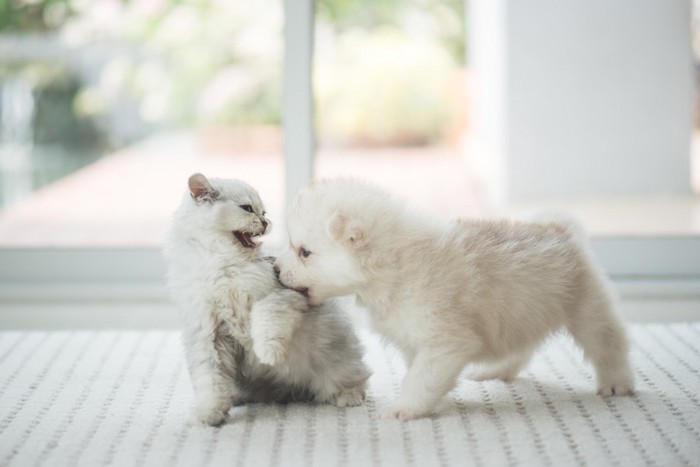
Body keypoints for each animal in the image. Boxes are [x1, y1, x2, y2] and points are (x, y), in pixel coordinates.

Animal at [166, 174, 370, 426]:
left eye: (263, 212)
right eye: (247, 209)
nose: (264, 222)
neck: (222, 264)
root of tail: (288, 392)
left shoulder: (279, 296)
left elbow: (265, 324)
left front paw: (268, 354)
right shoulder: (208, 333)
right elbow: (212, 382)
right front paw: (209, 415)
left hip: (339, 365)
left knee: (356, 381)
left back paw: (347, 397)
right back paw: (238, 399)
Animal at [276, 178, 636, 420]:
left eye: (304, 252)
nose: (276, 269)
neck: (393, 265)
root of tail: (562, 229)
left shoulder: (444, 341)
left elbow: (420, 378)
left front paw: (405, 408)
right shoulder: (416, 342)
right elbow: (419, 373)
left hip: (587, 308)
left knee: (609, 344)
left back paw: (617, 384)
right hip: (524, 312)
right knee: (521, 349)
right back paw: (496, 371)